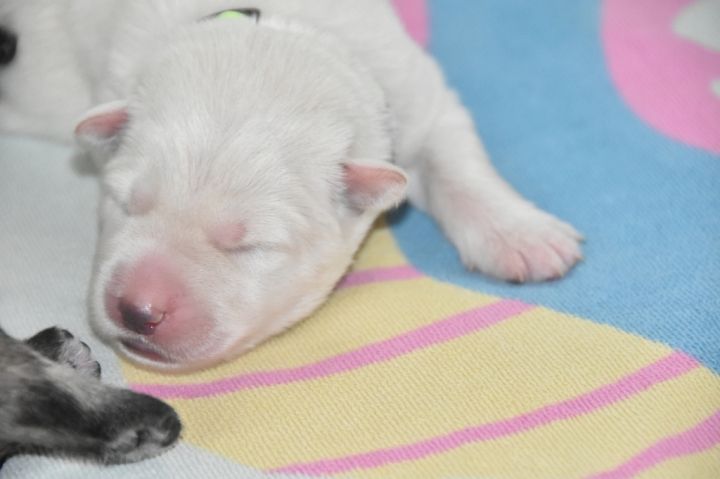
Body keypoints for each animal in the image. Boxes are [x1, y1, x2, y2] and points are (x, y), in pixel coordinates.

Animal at [0, 0, 583, 371]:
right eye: (126, 203)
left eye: (251, 245)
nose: (138, 309)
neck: (280, 29)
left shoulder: (415, 89)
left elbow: (454, 157)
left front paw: (522, 236)